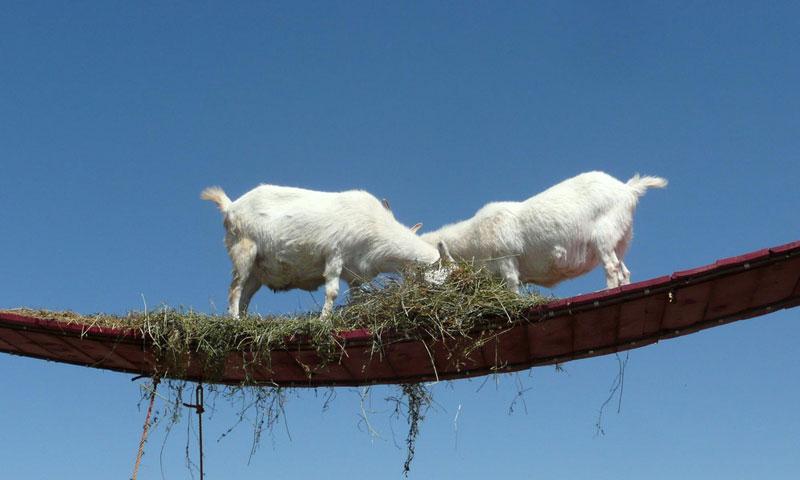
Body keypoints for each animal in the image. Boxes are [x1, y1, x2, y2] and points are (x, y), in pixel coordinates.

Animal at [202, 184, 449, 318]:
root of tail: (230, 206)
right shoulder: (334, 255)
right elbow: (331, 291)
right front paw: (324, 319)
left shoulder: (355, 273)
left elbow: (356, 298)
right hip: (243, 248)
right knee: (235, 289)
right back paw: (235, 320)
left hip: (258, 269)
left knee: (245, 294)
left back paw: (244, 320)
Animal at [420, 171, 667, 291]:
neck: (474, 236)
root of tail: (628, 189)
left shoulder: (507, 260)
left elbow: (512, 288)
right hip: (621, 237)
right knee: (623, 269)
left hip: (604, 235)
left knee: (611, 267)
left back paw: (607, 290)